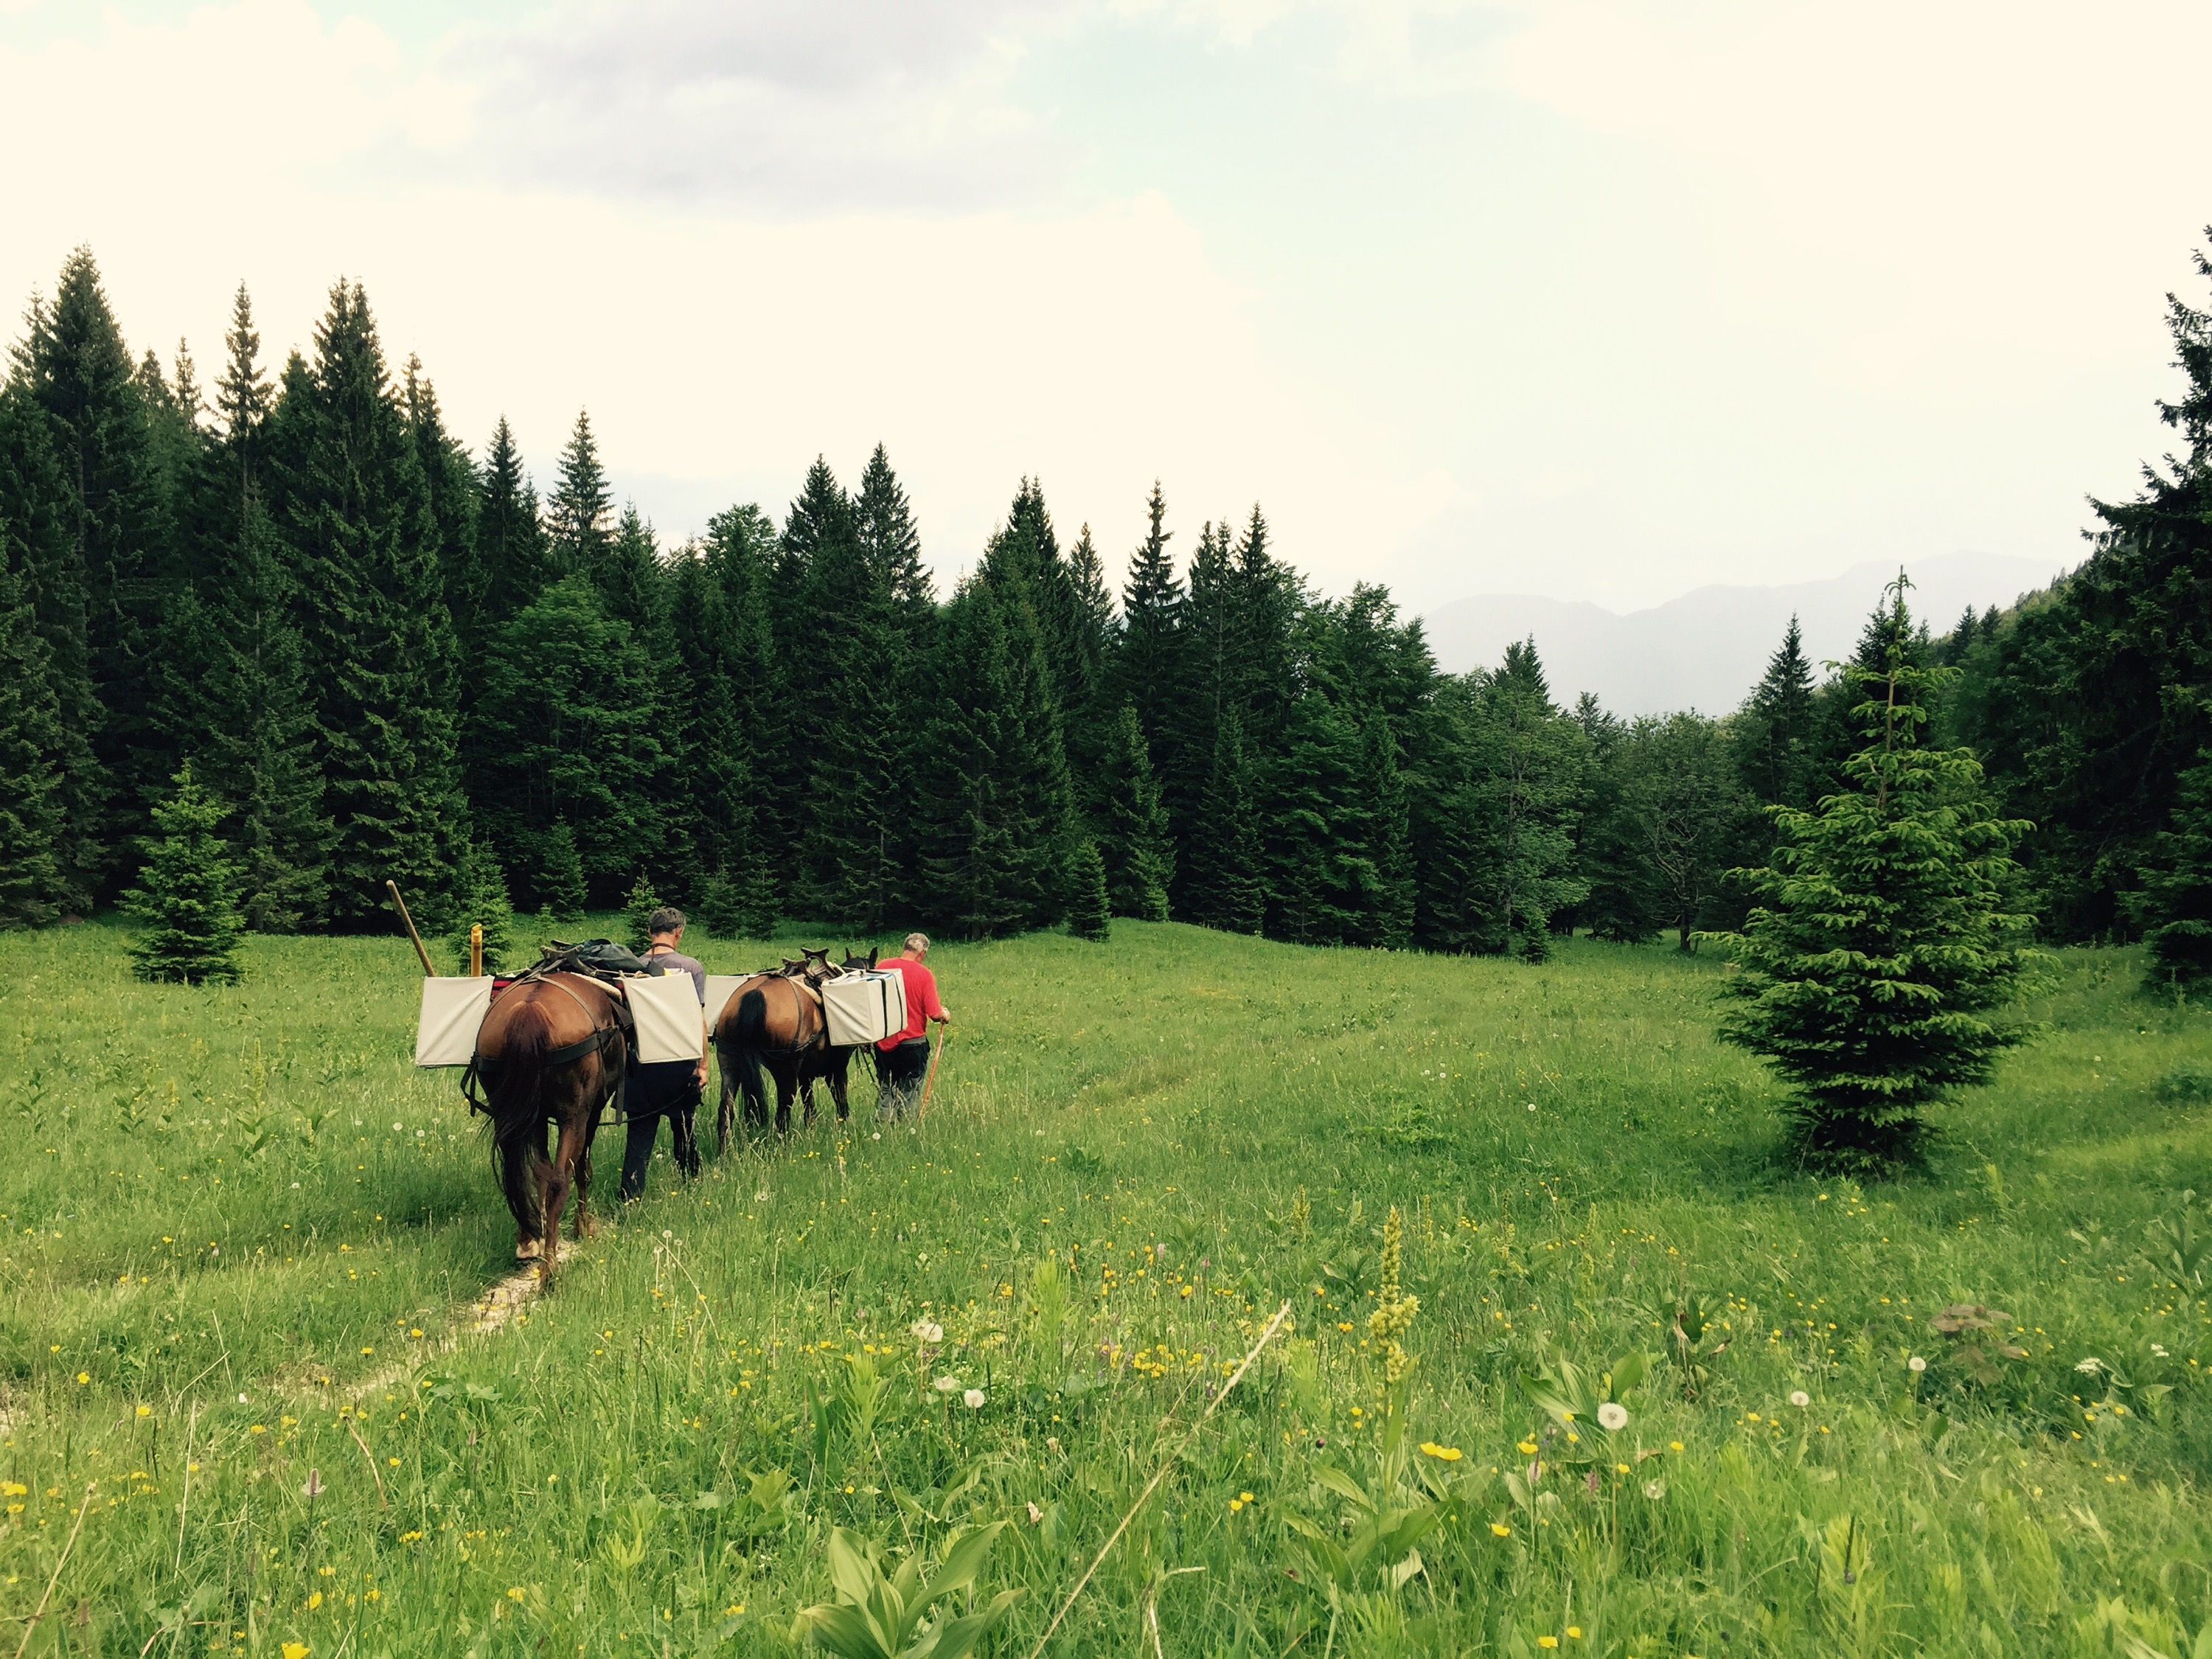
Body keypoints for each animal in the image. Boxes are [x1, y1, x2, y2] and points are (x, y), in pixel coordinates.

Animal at [471, 973, 628, 1283]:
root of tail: (529, 1011)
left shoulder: (537, 1118)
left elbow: (537, 1172)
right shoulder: (591, 1111)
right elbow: (582, 1170)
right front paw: (583, 1227)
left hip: (510, 1113)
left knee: (518, 1172)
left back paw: (528, 1243)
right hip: (574, 1117)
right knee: (559, 1181)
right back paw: (549, 1272)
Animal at [712, 956, 876, 1150]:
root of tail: (754, 993)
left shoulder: (805, 1075)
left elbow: (809, 1108)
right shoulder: (837, 1070)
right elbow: (840, 1102)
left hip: (729, 1064)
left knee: (725, 1113)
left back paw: (725, 1153)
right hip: (785, 1072)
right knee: (782, 1115)